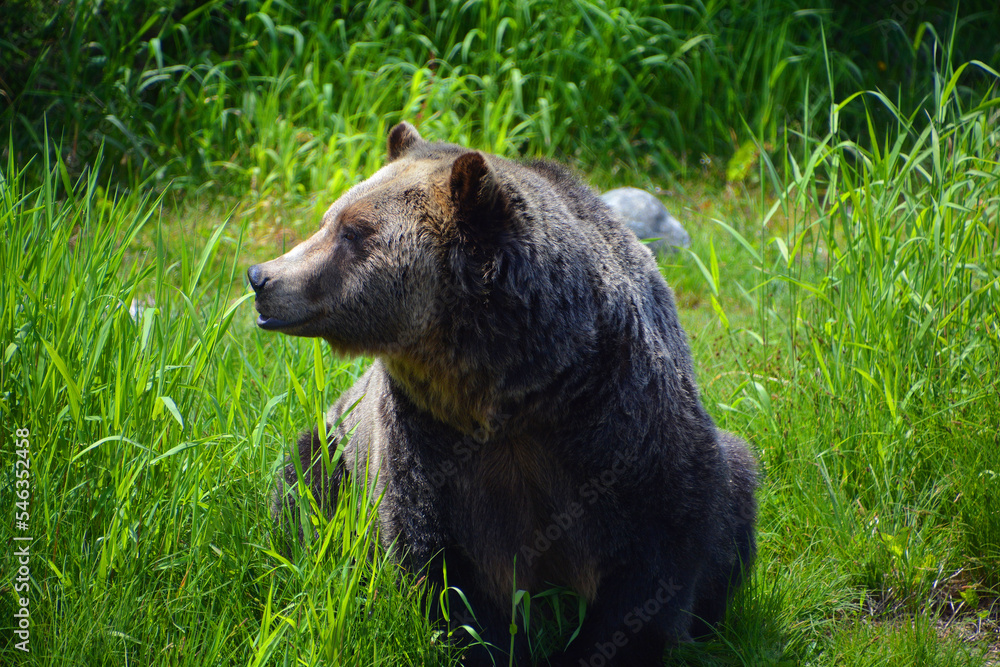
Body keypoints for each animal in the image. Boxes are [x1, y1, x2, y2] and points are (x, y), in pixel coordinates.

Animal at [248, 121, 757, 666]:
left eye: (352, 231)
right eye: (329, 219)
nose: (262, 277)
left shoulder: (620, 416)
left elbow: (655, 555)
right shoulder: (427, 439)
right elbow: (443, 564)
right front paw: (489, 645)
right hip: (339, 447)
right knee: (303, 486)